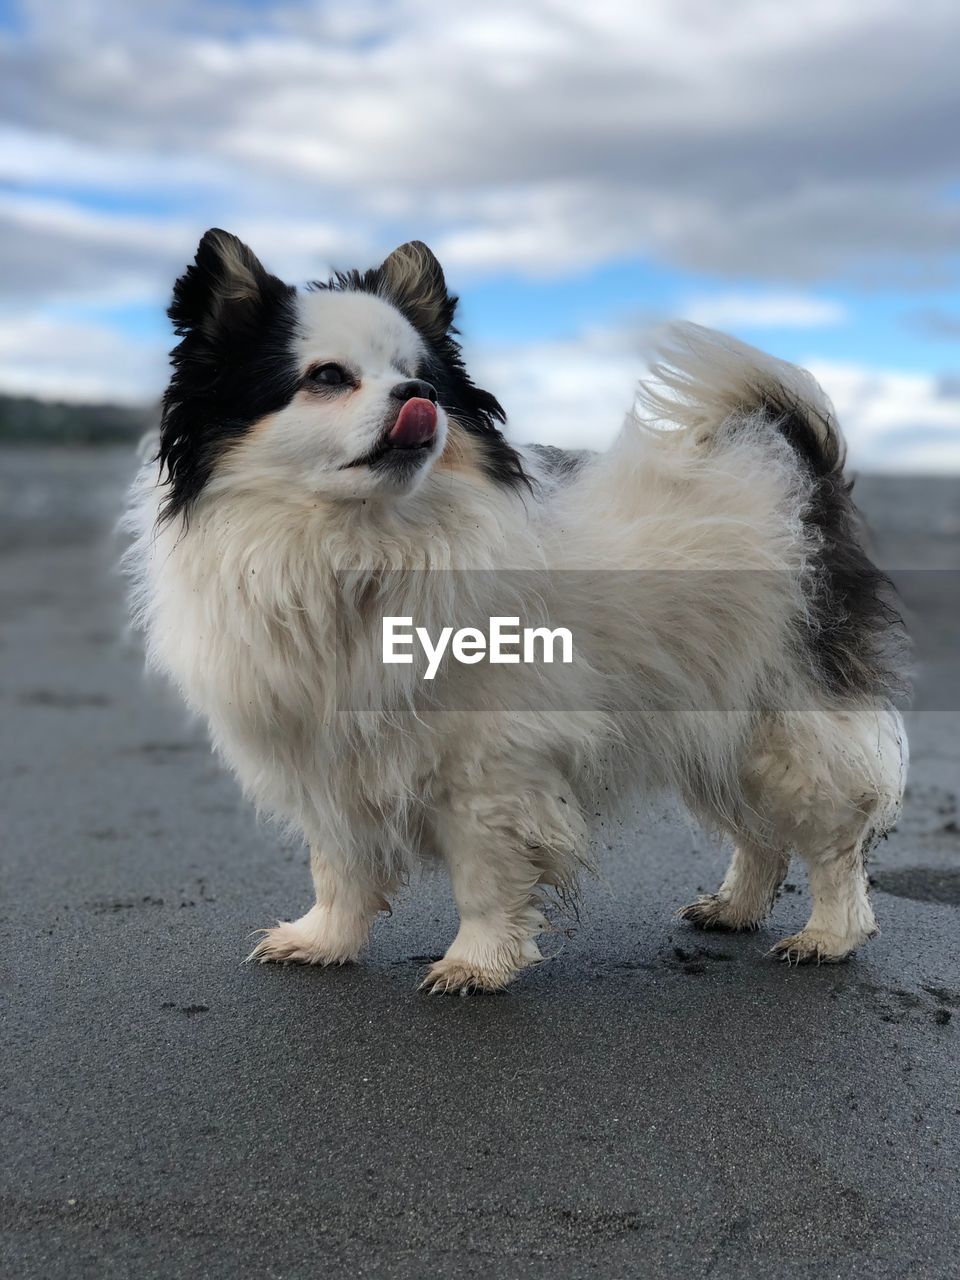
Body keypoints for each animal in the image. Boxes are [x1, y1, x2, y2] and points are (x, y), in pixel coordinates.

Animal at [124, 227, 911, 988]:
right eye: (327, 378)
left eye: (424, 375)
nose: (418, 393)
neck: (360, 547)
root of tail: (801, 477)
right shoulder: (330, 762)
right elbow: (339, 865)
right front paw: (326, 942)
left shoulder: (491, 766)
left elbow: (484, 874)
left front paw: (478, 963)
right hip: (715, 723)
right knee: (758, 833)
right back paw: (735, 908)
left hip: (784, 725)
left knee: (833, 838)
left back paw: (828, 936)